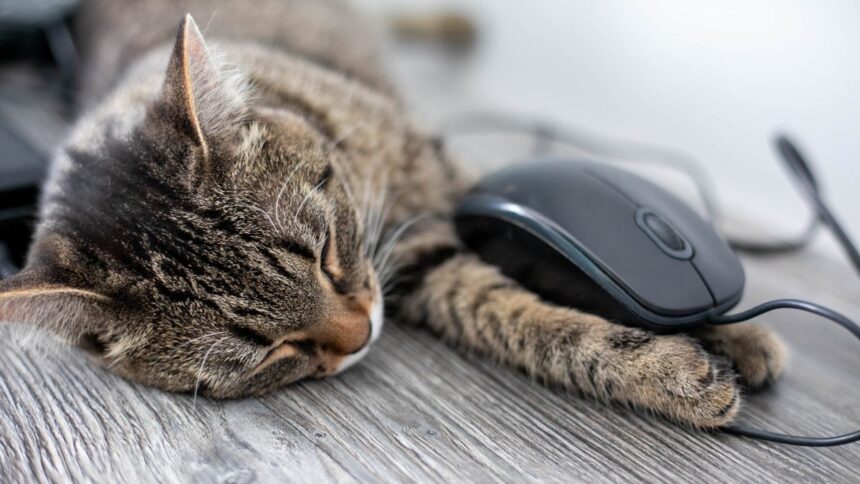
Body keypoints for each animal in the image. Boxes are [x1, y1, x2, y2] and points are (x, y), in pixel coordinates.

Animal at [0, 0, 788, 430]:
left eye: (322, 250)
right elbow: (531, 320)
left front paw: (738, 333)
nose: (361, 336)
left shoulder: (445, 184)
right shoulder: (427, 265)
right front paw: (674, 369)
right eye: (267, 351)